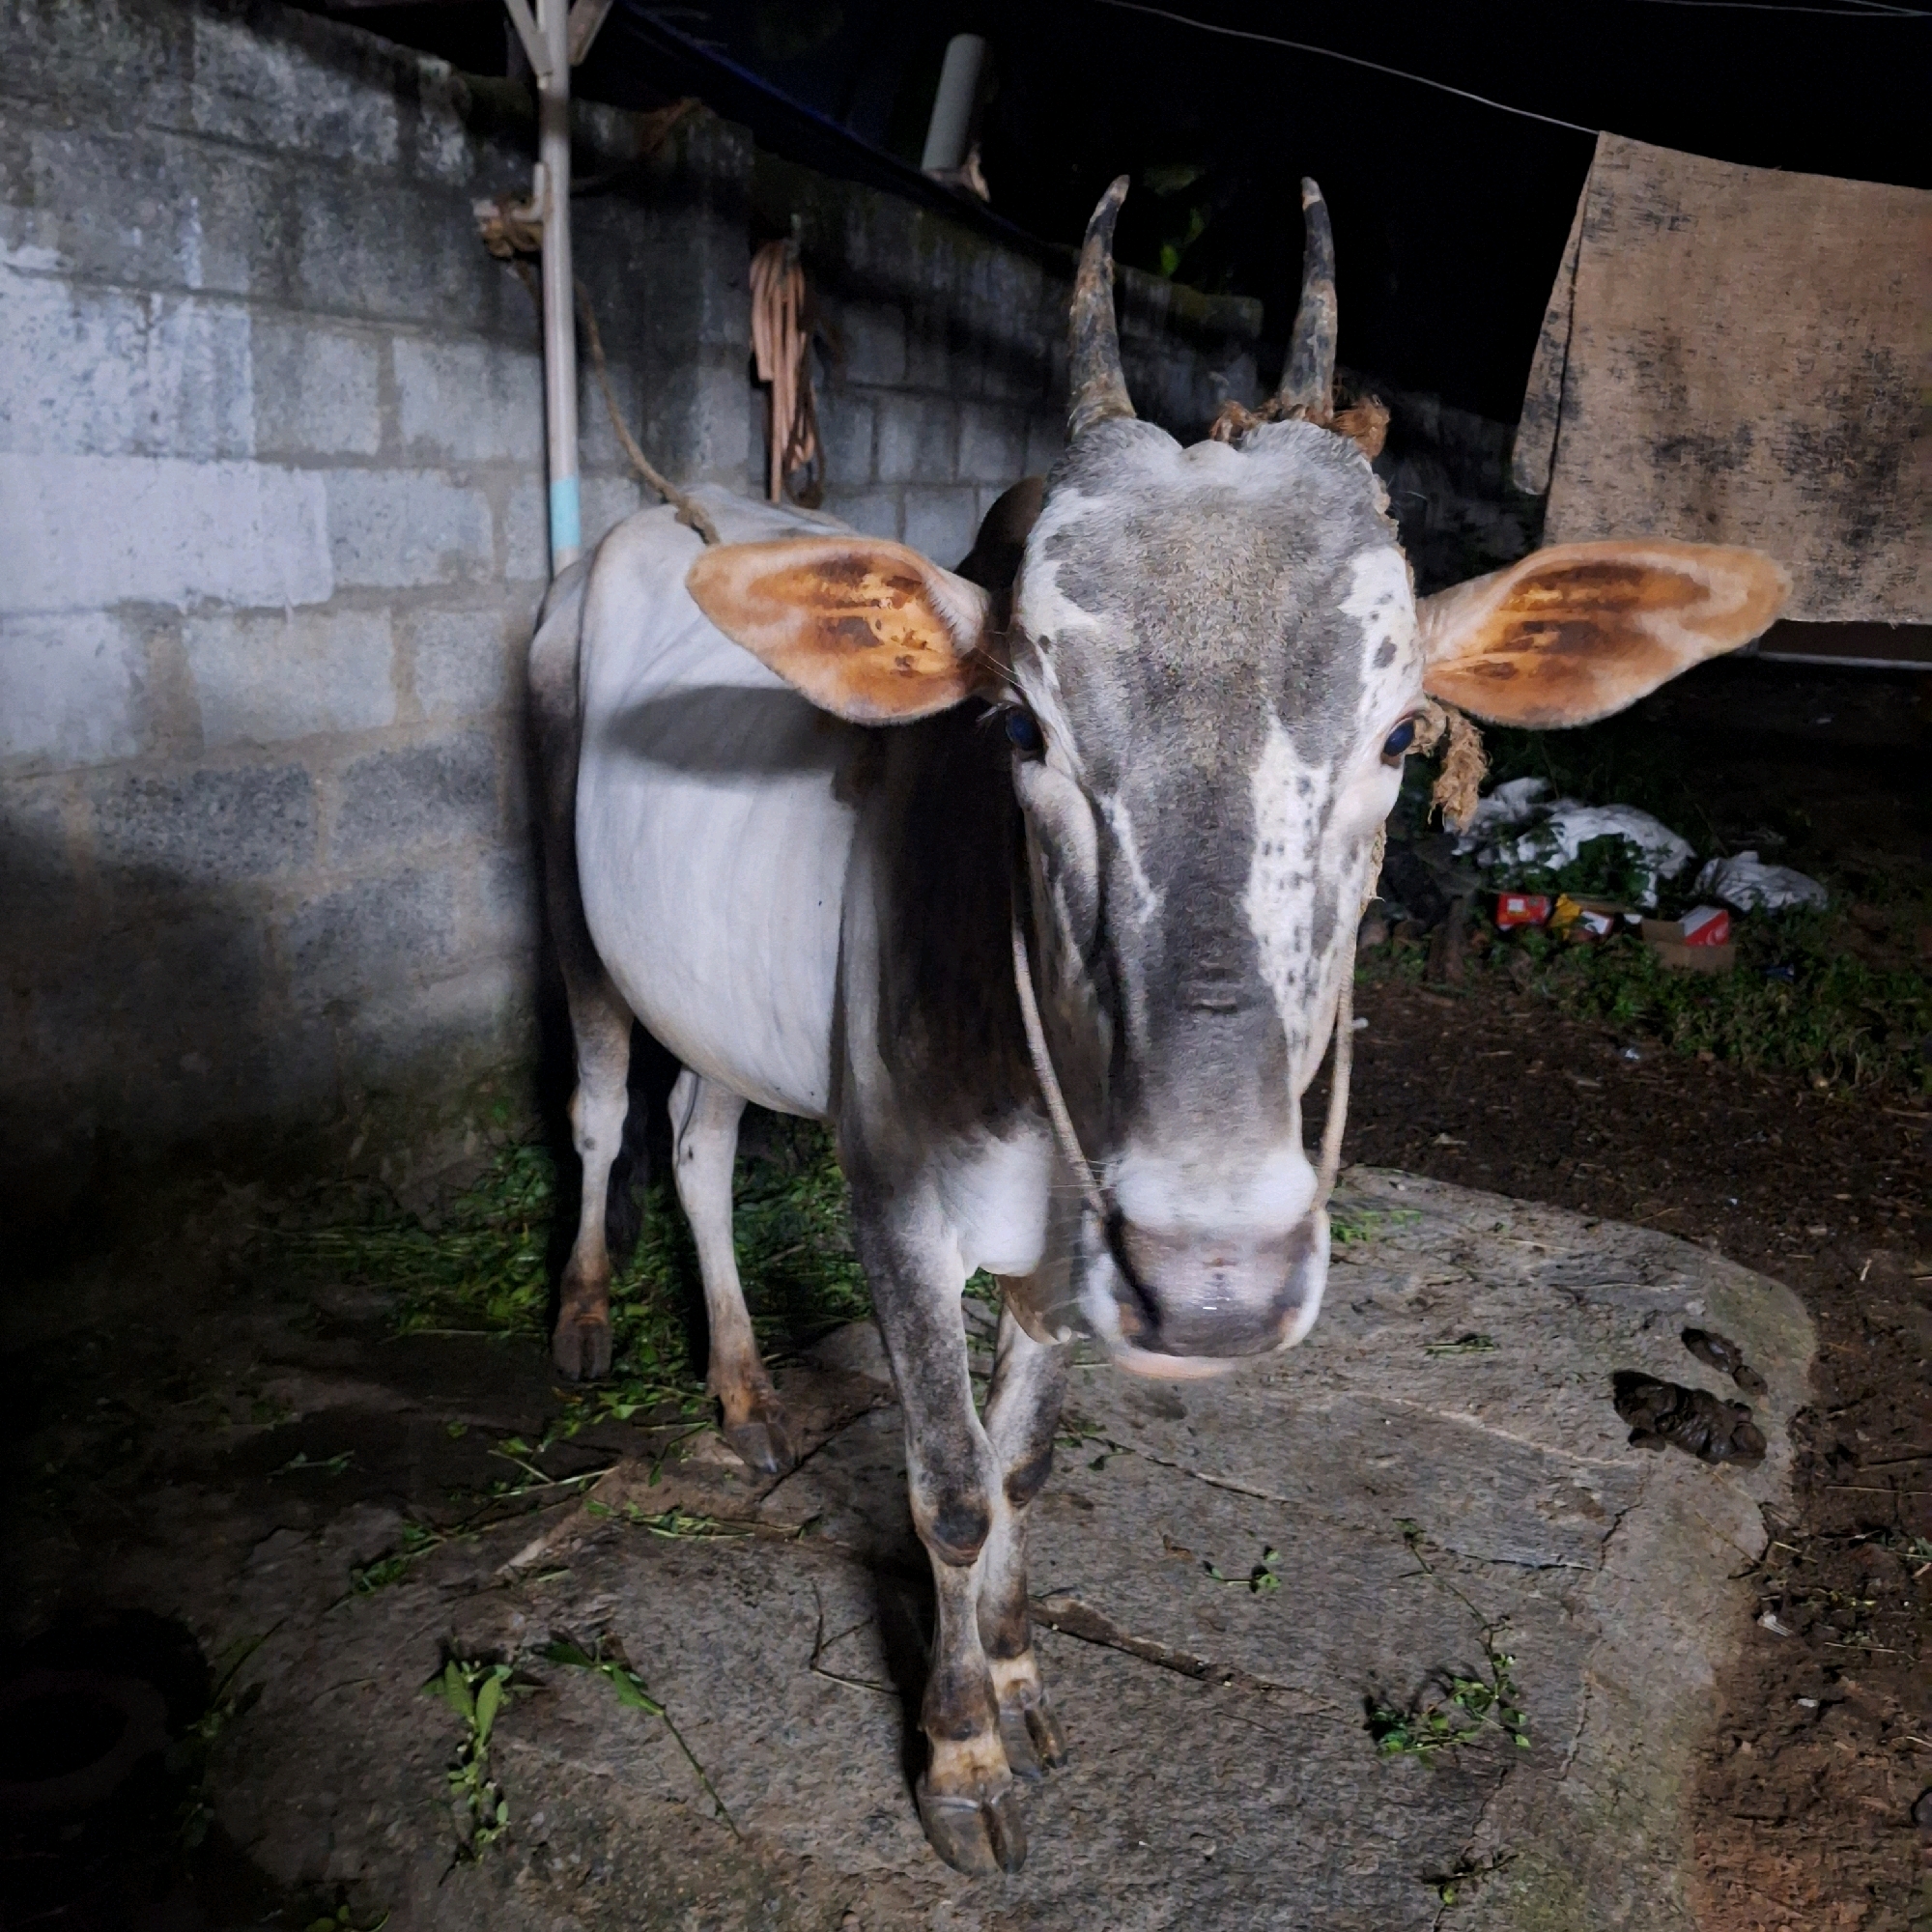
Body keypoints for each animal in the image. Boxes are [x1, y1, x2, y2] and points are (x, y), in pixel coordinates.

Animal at [528, 178, 1787, 1874]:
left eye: (1402, 732)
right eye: (1018, 724)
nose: (1217, 1275)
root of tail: (663, 518)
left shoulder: (1078, 1244)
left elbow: (1024, 1465)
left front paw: (1012, 1672)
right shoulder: (893, 1197)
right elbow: (948, 1487)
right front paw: (961, 1756)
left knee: (700, 1136)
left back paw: (739, 1382)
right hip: (572, 901)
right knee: (605, 1110)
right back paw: (589, 1317)